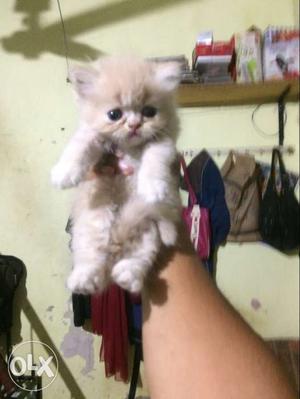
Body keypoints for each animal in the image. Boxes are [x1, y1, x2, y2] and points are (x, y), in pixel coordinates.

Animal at [51, 55, 182, 294]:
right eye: (114, 115)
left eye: (149, 112)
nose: (134, 125)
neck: (129, 149)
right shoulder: (92, 136)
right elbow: (78, 146)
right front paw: (64, 173)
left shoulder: (164, 142)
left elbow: (154, 159)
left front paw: (152, 187)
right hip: (93, 222)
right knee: (92, 257)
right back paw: (82, 280)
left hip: (147, 228)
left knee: (139, 256)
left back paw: (127, 277)